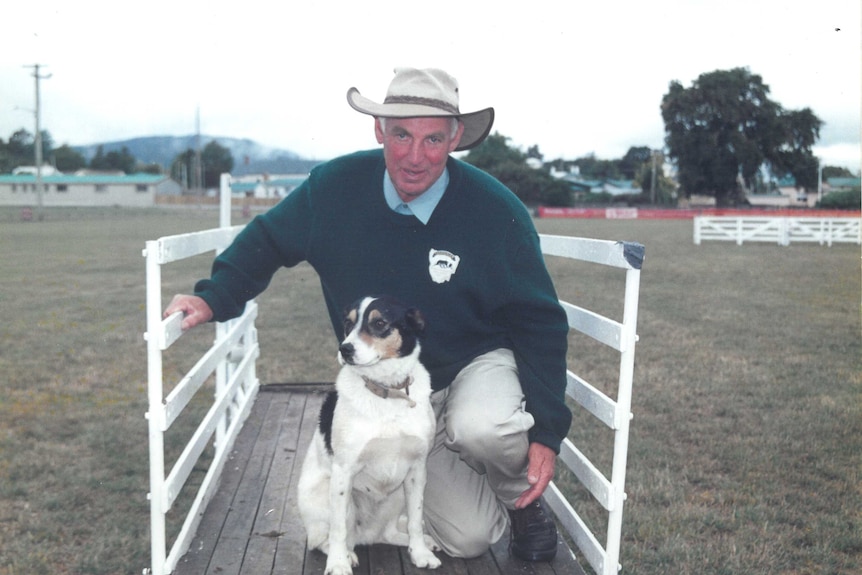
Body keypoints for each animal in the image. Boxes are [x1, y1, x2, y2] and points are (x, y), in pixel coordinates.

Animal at [298, 296, 446, 575]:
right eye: (348, 323)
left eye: (379, 323)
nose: (344, 349)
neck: (387, 392)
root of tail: (367, 535)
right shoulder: (343, 470)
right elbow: (337, 530)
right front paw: (338, 564)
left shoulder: (417, 470)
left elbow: (416, 518)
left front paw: (420, 552)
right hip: (335, 497)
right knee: (324, 539)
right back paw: (346, 555)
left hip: (396, 495)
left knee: (388, 533)